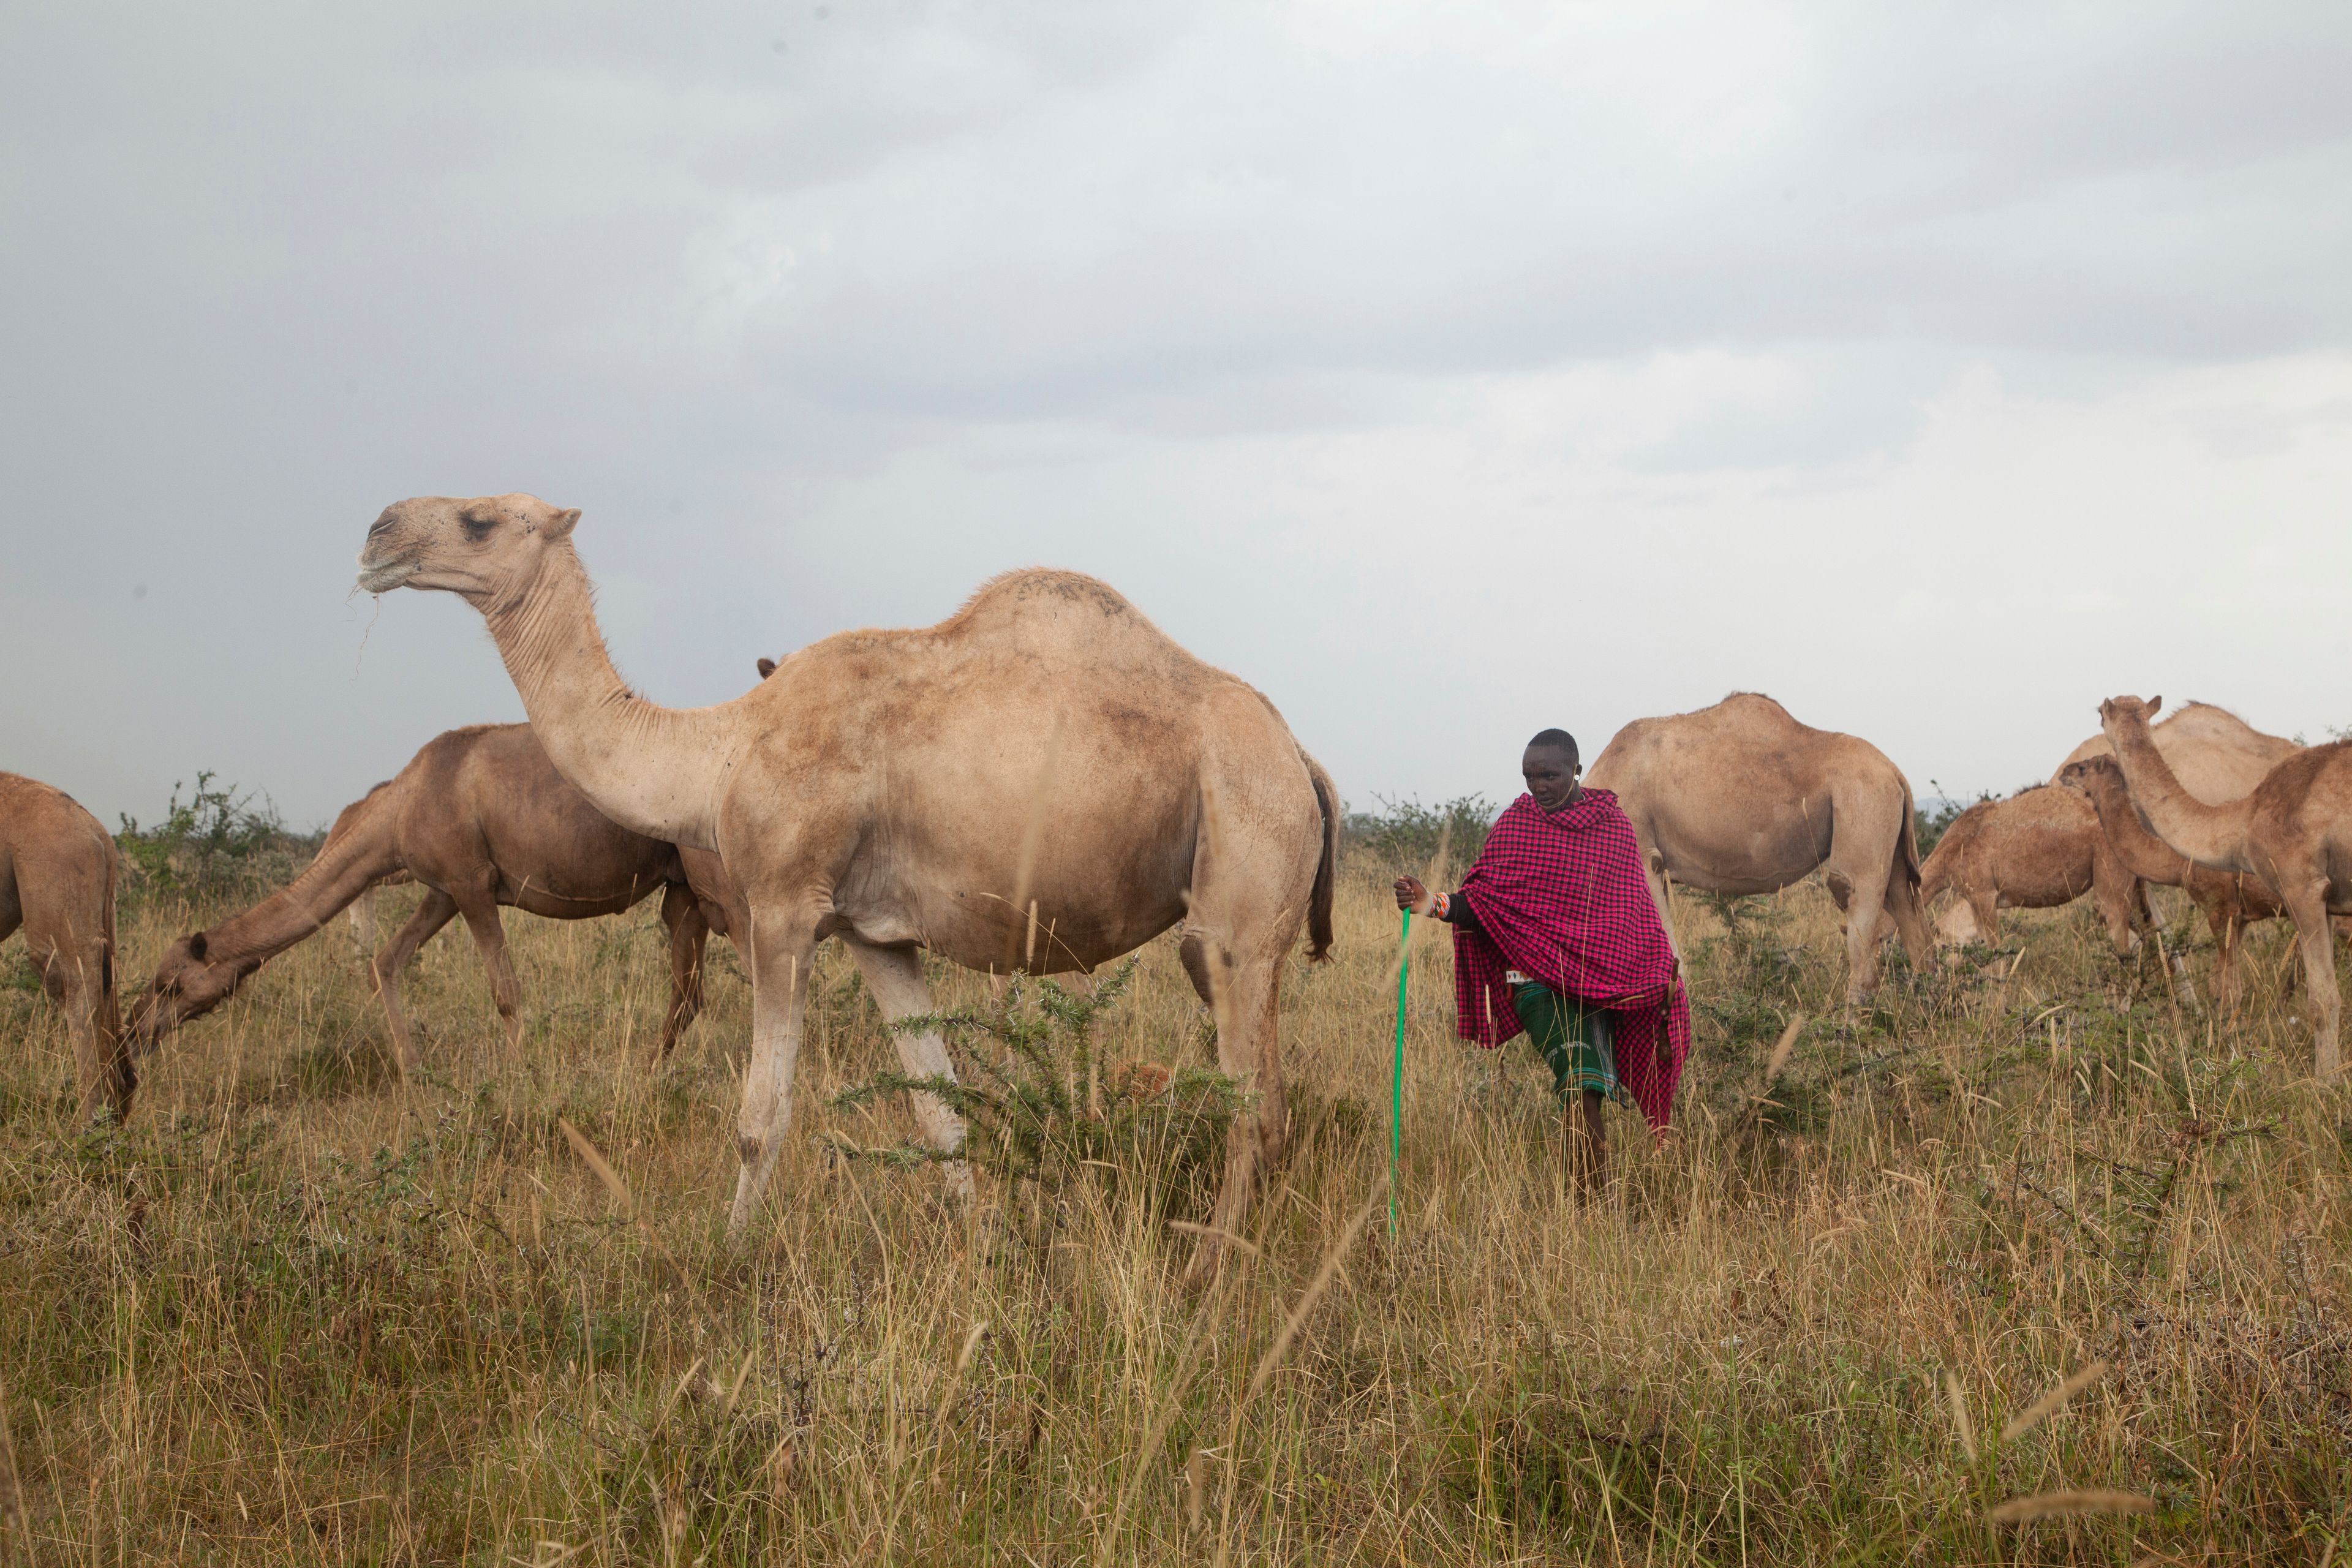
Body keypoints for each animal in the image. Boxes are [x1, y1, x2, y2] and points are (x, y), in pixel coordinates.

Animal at [353, 491, 1345, 1260]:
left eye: (479, 520)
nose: (375, 535)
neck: (719, 750)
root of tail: (1302, 759)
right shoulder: (876, 935)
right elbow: (941, 1114)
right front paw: (984, 1251)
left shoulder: (783, 907)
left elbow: (760, 1119)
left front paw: (729, 1259)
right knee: (1271, 1100)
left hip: (1240, 867)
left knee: (1252, 1105)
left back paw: (1210, 1271)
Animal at [1580, 691, 1928, 1001]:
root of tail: (1896, 774)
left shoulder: (1642, 851)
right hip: (1891, 844)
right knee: (1909, 915)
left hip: (1864, 805)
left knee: (1857, 909)